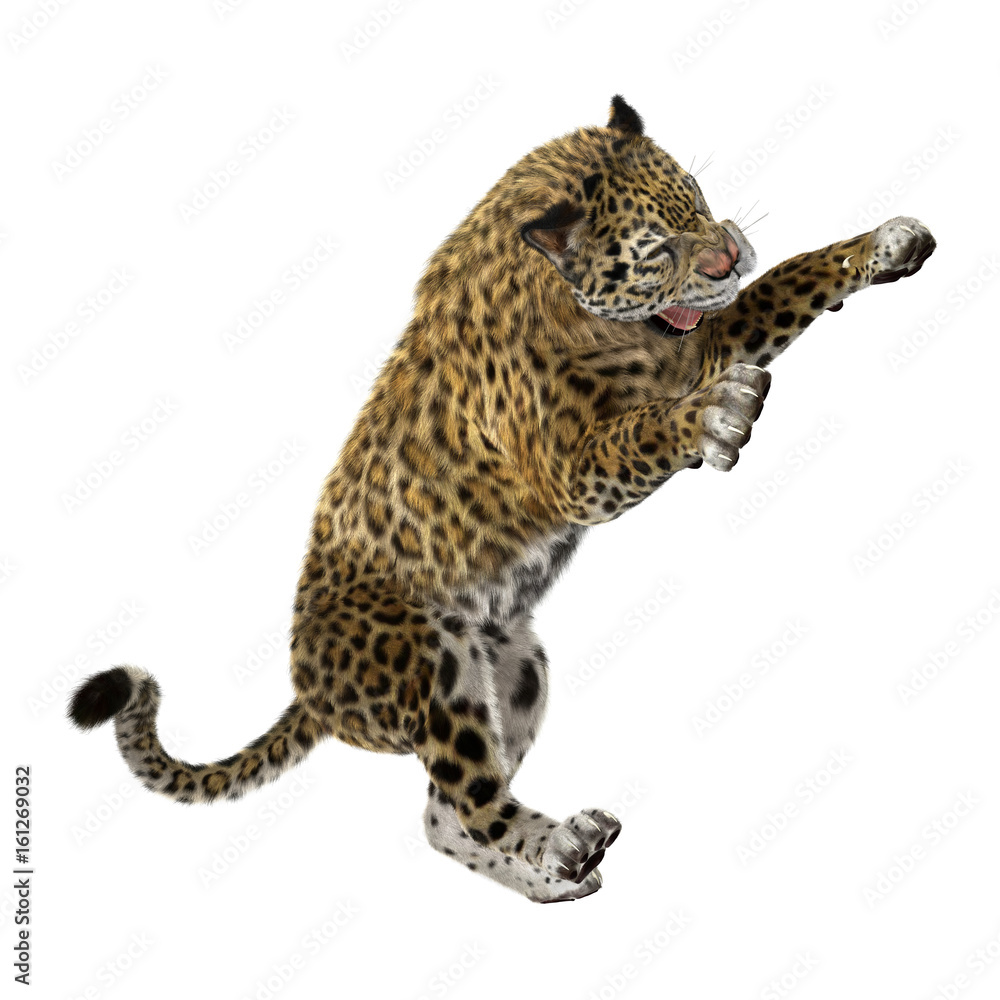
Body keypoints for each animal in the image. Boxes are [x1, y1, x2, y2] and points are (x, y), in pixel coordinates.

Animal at [69, 96, 935, 902]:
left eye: (694, 195)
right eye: (656, 249)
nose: (730, 251)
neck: (583, 311)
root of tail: (308, 689)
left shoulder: (690, 346)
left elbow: (786, 283)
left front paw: (883, 245)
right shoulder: (576, 469)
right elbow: (644, 431)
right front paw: (711, 418)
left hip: (517, 668)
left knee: (441, 814)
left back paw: (555, 876)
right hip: (429, 661)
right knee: (471, 798)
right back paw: (563, 845)